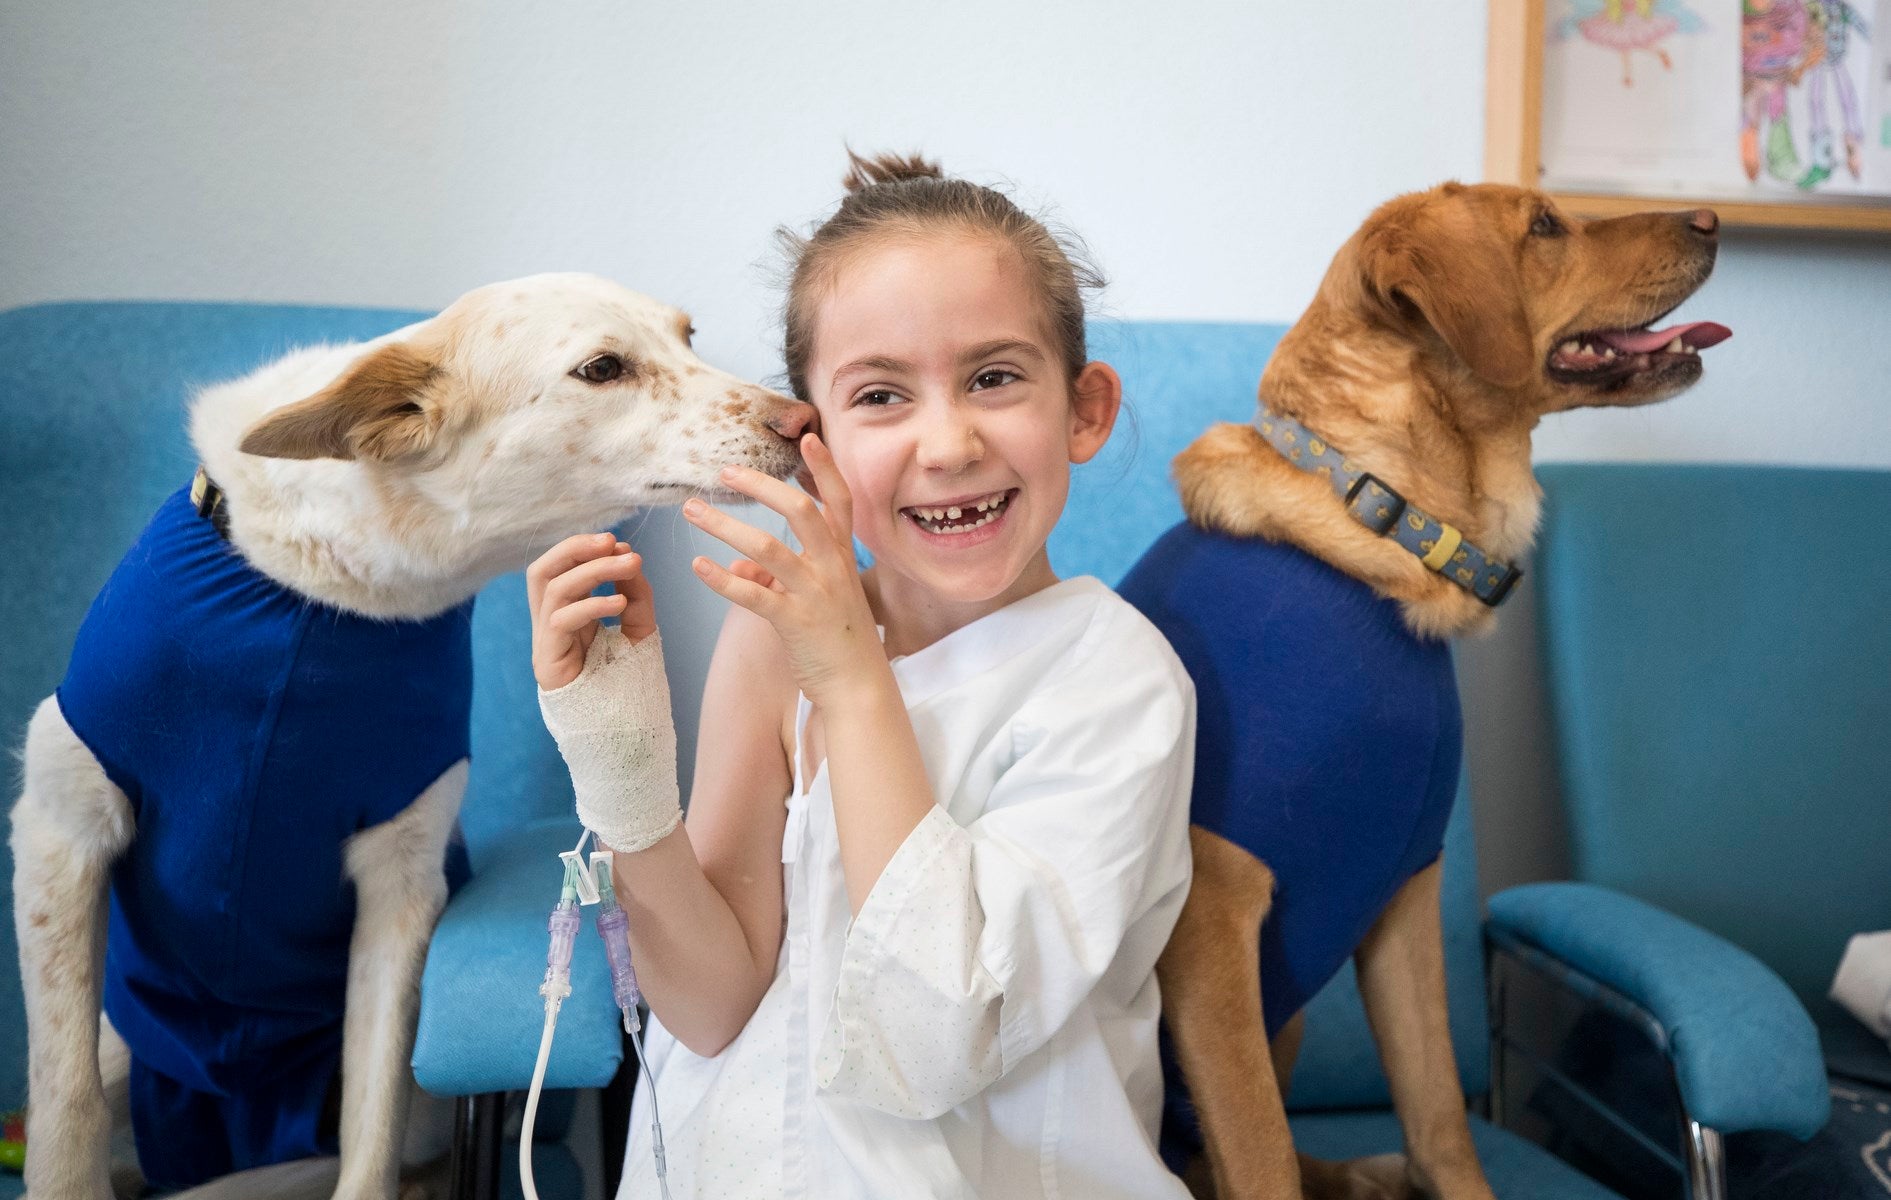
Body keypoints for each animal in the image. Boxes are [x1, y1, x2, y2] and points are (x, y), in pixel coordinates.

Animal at [12, 274, 813, 1200]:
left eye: (688, 336)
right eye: (602, 368)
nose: (799, 420)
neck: (327, 593)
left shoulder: (402, 881)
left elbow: (373, 1127)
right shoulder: (62, 830)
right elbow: (62, 1111)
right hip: (127, 1051)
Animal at [1134, 183, 1732, 1194]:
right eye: (1543, 226)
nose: (1712, 219)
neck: (1381, 510)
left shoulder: (1408, 889)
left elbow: (1440, 1116)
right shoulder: (1211, 922)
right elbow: (1258, 1155)